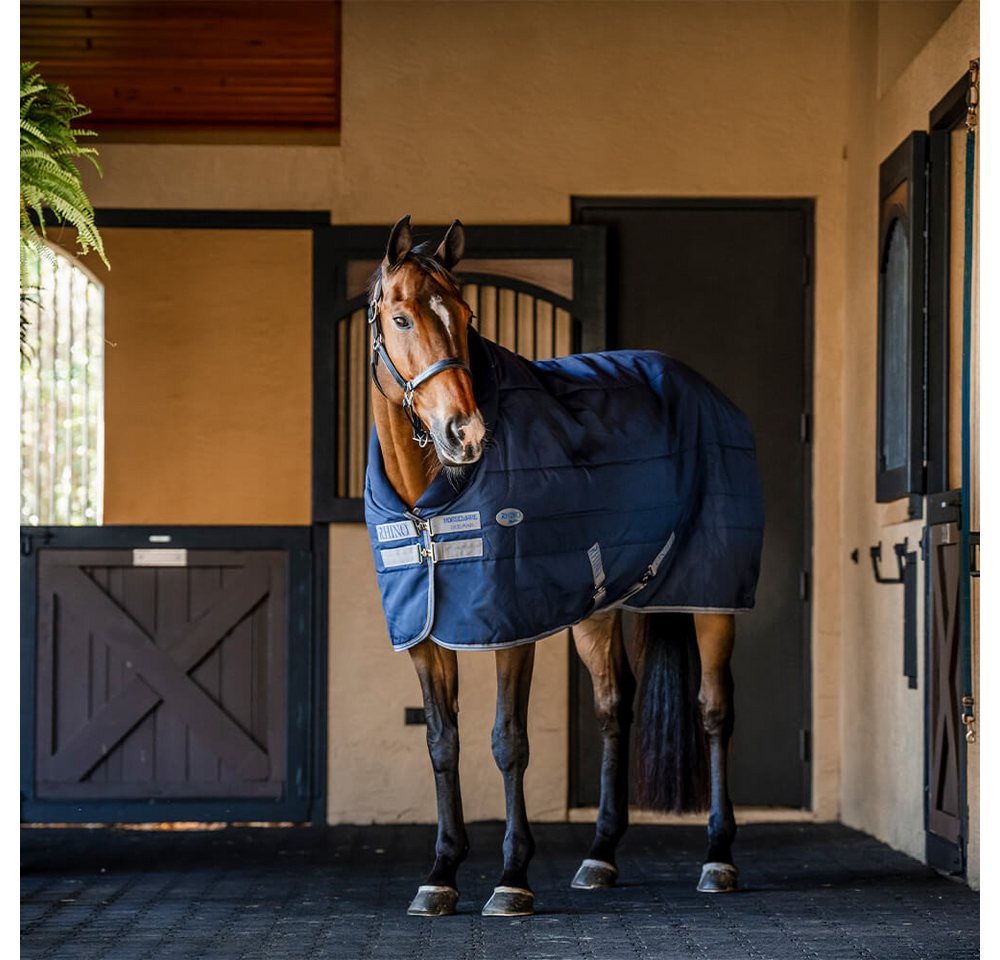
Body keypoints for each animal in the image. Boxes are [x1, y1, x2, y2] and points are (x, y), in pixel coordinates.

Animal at [362, 215, 763, 917]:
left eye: (466, 315)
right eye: (403, 318)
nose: (465, 433)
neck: (428, 505)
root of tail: (703, 389)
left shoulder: (509, 627)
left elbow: (507, 741)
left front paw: (511, 878)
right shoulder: (425, 632)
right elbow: (442, 743)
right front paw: (441, 872)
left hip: (712, 597)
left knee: (715, 709)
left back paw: (718, 857)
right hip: (598, 610)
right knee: (613, 707)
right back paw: (600, 855)